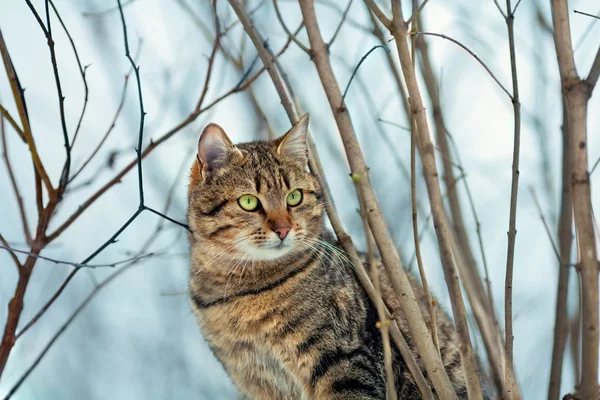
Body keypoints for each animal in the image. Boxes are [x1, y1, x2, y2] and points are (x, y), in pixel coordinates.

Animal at [188, 113, 488, 400]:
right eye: (249, 202)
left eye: (294, 197)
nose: (283, 229)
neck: (241, 291)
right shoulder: (258, 382)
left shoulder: (343, 361)